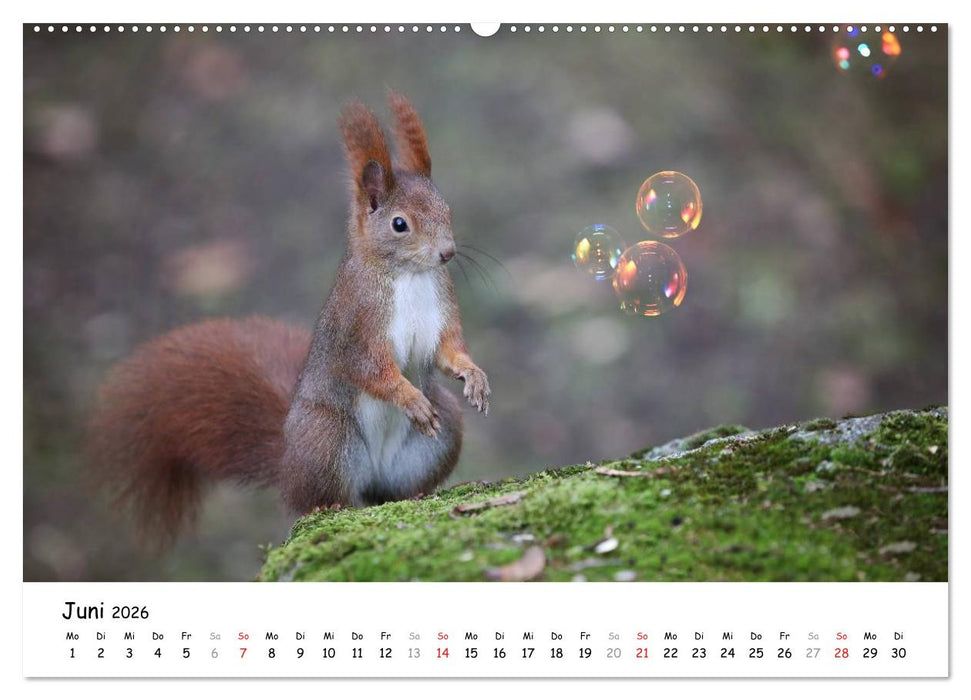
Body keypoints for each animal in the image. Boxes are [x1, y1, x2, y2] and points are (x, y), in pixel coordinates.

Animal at [88, 90, 490, 544]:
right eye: (399, 224)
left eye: (446, 208)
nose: (447, 253)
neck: (408, 276)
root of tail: (287, 463)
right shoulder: (356, 324)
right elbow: (370, 368)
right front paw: (409, 398)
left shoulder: (442, 307)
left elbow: (448, 350)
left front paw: (474, 376)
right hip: (326, 437)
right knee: (316, 500)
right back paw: (331, 505)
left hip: (439, 436)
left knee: (386, 493)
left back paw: (419, 494)